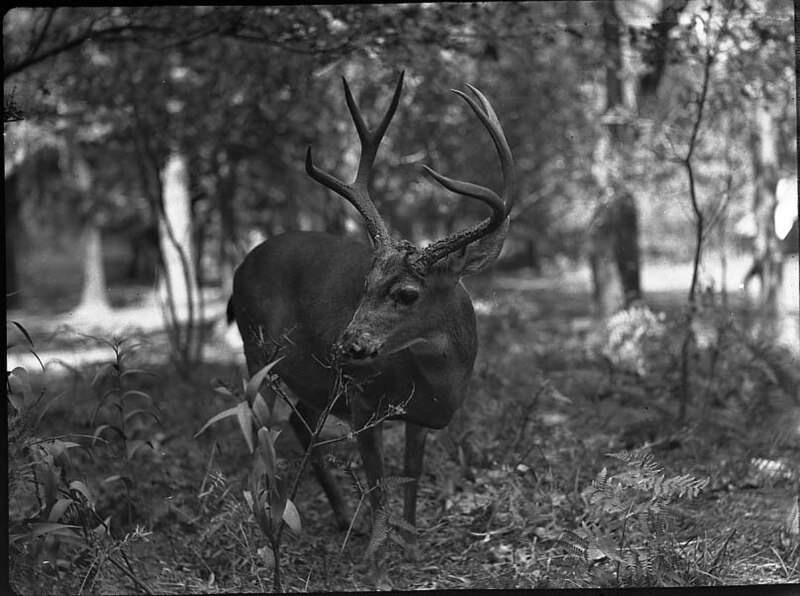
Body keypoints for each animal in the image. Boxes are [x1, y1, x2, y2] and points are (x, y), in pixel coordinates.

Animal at [228, 72, 516, 560]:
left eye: (407, 293)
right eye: (364, 283)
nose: (347, 345)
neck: (440, 381)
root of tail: (237, 271)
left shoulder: (420, 419)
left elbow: (412, 476)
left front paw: (413, 542)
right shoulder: (363, 402)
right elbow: (380, 486)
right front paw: (379, 555)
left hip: (306, 376)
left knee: (299, 423)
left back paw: (344, 517)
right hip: (256, 350)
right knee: (261, 434)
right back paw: (270, 526)